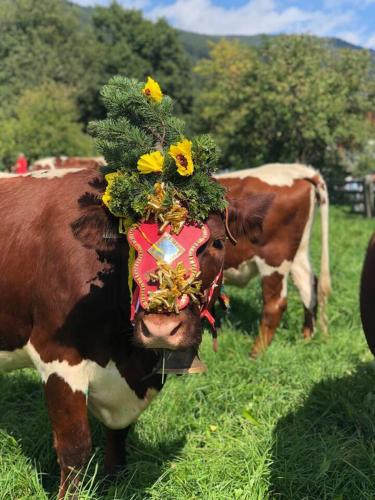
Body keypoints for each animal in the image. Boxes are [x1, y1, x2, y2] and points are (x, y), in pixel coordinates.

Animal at [217, 162, 332, 358]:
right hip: (298, 253)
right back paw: (306, 337)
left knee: (275, 304)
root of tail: (298, 170)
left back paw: (255, 353)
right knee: (309, 287)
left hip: (274, 258)